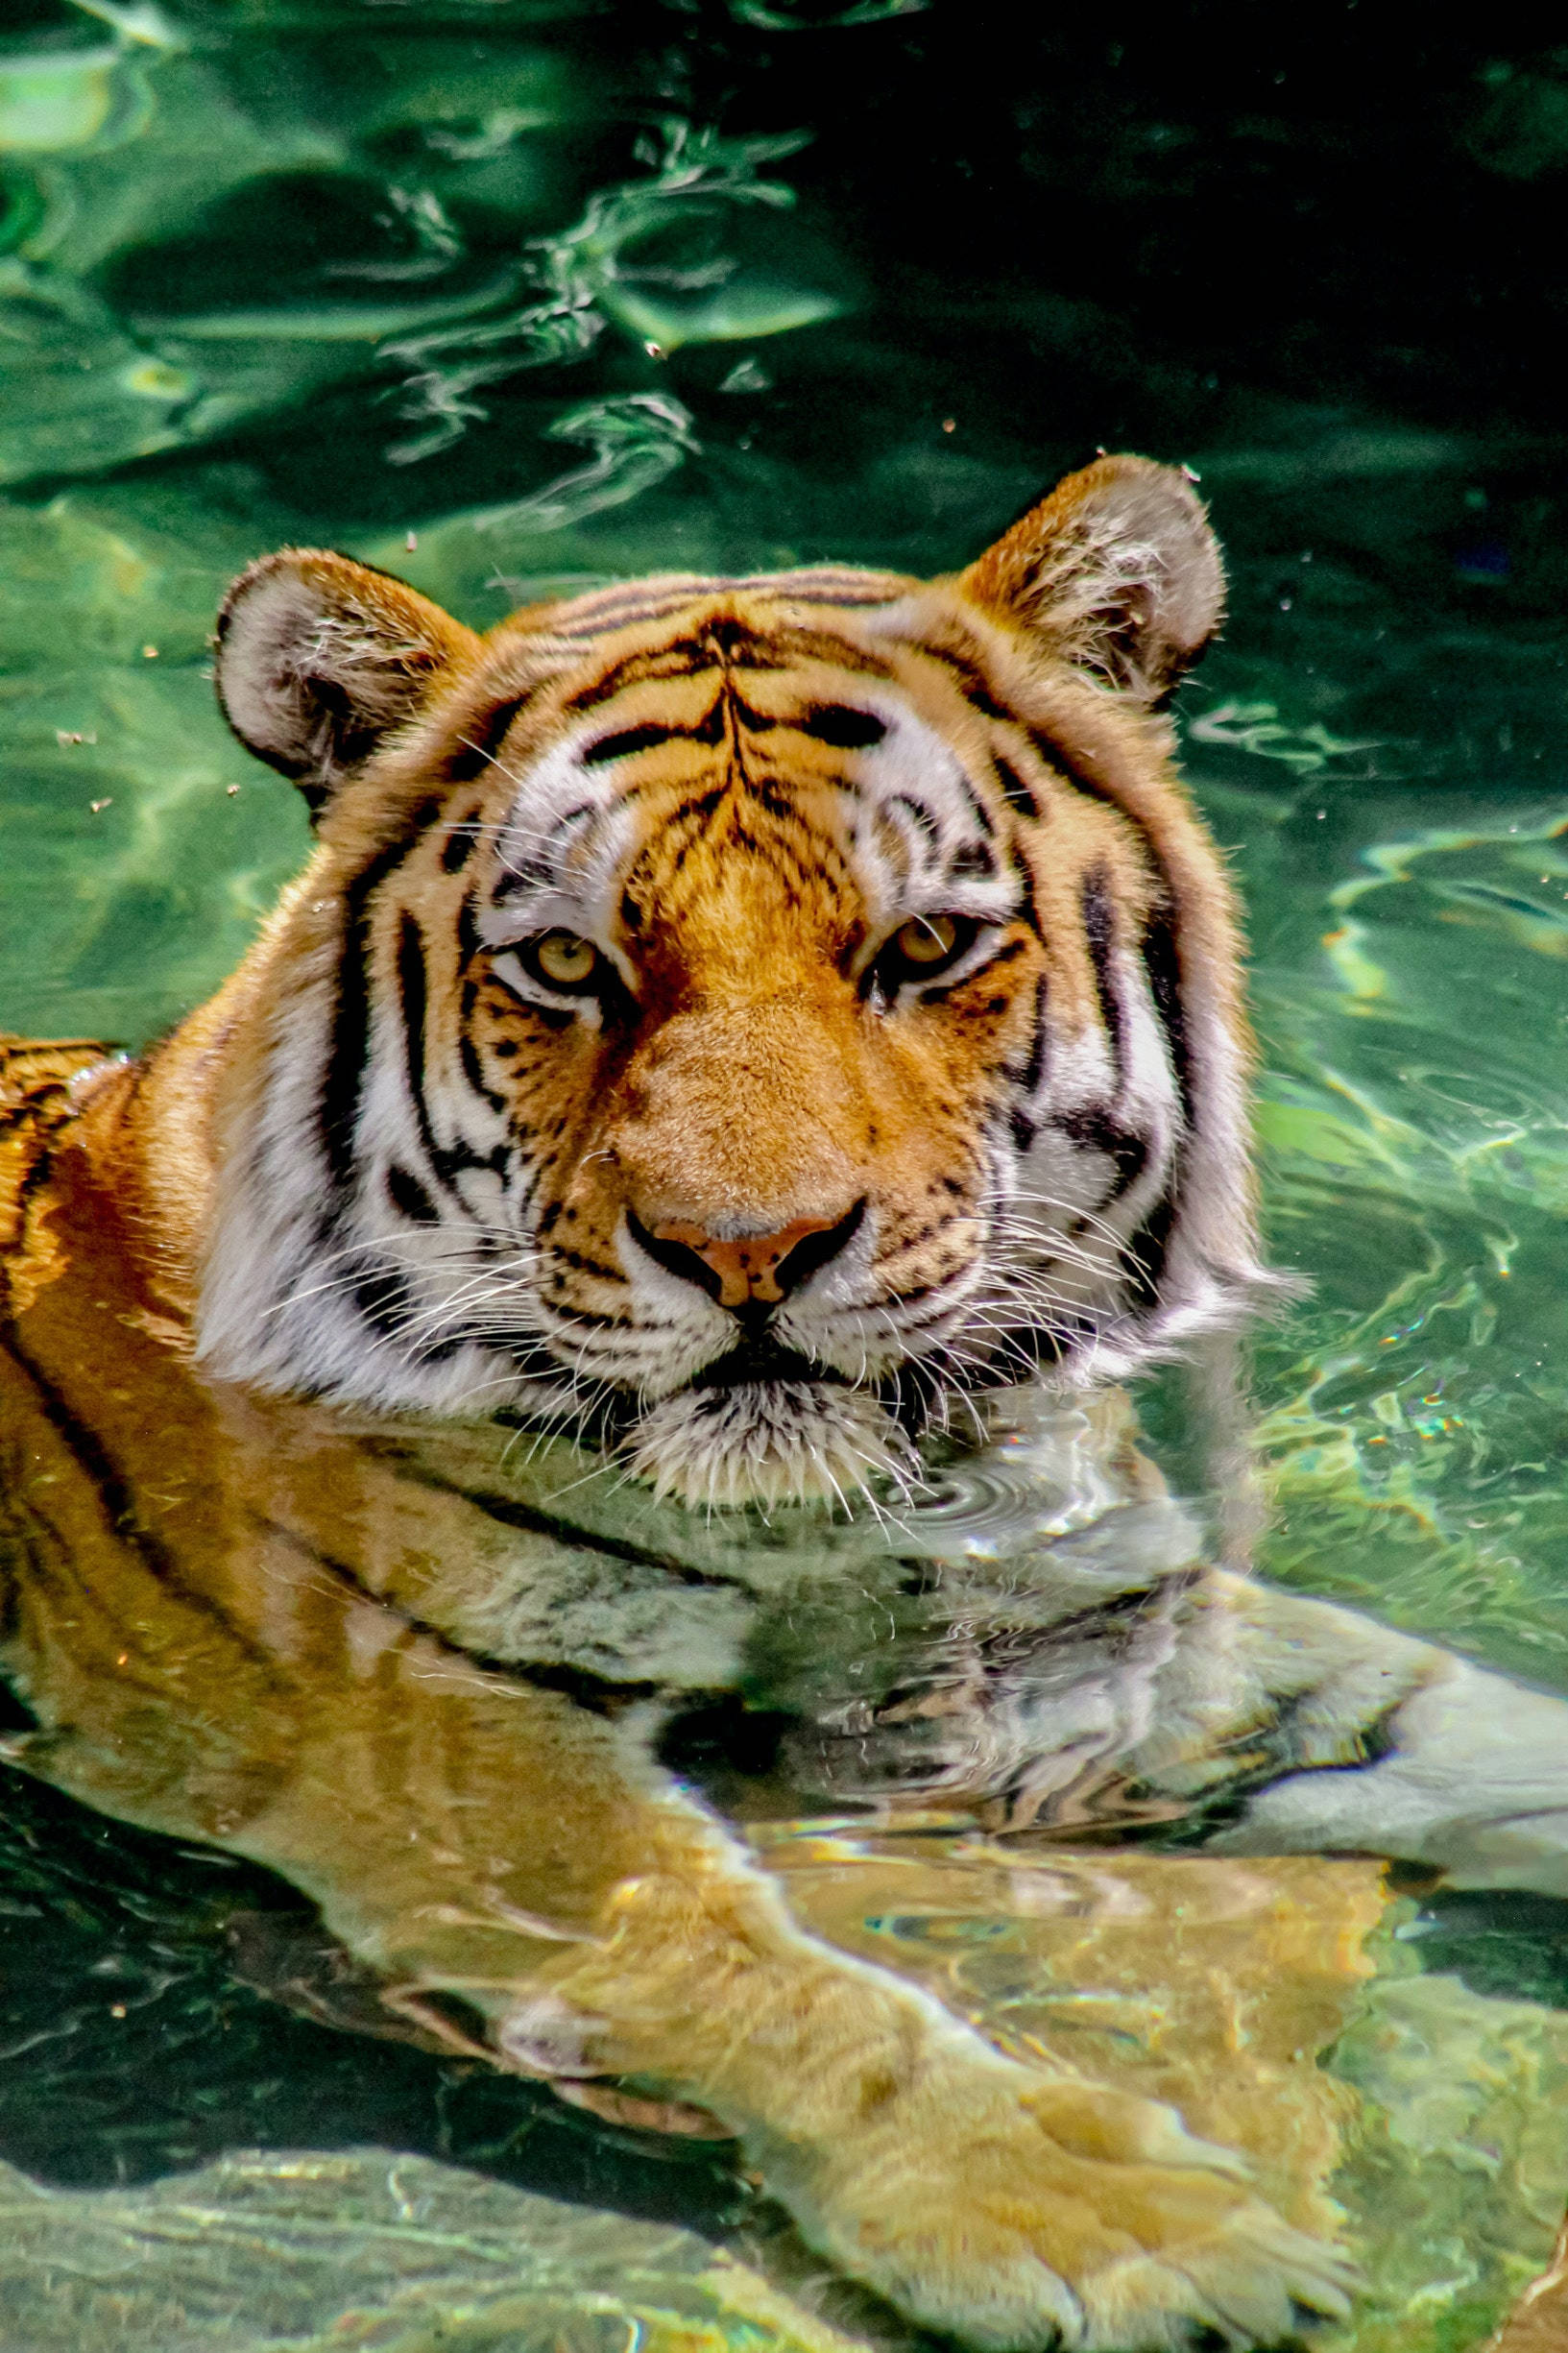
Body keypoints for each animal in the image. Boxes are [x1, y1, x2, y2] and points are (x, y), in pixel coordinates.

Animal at [6, 453, 1568, 2351]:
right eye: (566, 966)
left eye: (927, 945)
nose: (745, 1252)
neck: (837, 1517)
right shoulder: (433, 1733)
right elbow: (749, 1963)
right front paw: (1094, 2218)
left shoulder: (1082, 1609)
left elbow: (1447, 1723)